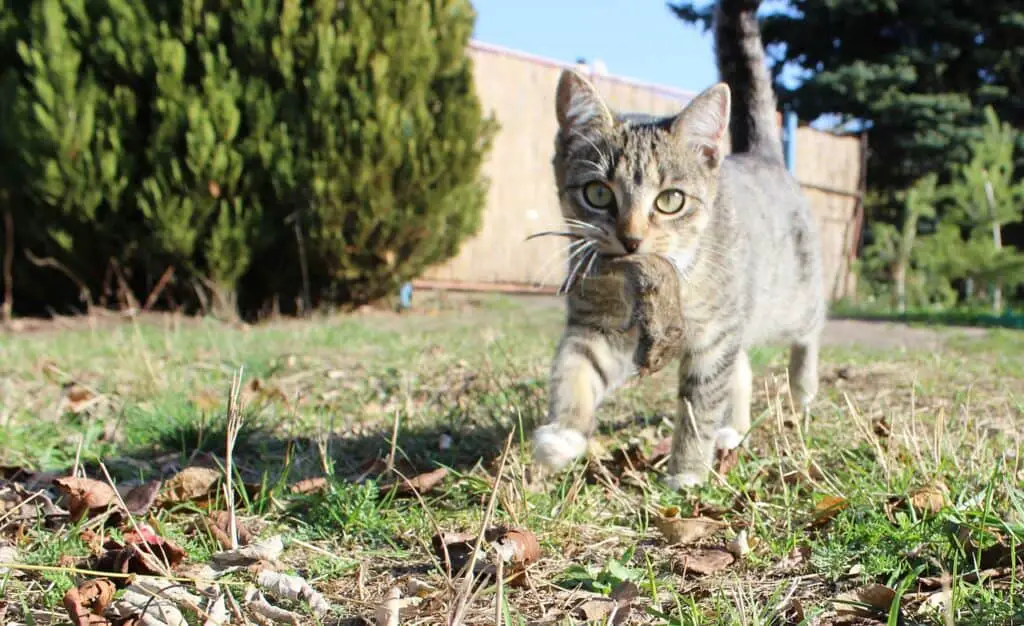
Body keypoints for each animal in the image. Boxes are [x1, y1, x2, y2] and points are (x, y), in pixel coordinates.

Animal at [528, 0, 823, 489]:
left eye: (670, 200)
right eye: (598, 194)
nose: (631, 238)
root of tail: (764, 156)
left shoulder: (714, 334)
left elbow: (698, 403)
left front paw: (686, 472)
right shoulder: (598, 324)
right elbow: (576, 367)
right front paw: (564, 434)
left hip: (791, 297)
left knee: (808, 333)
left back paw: (803, 392)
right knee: (742, 368)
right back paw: (734, 429)